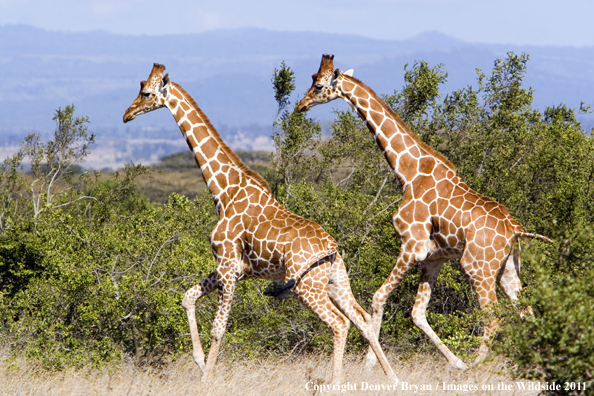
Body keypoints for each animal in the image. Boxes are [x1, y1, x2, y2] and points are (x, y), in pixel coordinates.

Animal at [122, 64, 396, 384]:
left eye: (145, 93)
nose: (127, 113)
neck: (223, 192)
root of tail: (332, 246)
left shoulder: (227, 266)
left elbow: (218, 328)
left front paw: (207, 379)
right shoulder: (235, 268)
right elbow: (188, 297)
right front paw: (200, 364)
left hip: (307, 287)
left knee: (339, 324)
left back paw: (337, 382)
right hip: (335, 281)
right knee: (362, 319)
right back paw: (392, 378)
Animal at [296, 54, 552, 370]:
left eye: (318, 85)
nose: (301, 105)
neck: (408, 172)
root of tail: (515, 229)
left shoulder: (412, 245)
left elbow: (379, 297)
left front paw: (371, 364)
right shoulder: (434, 257)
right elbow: (417, 314)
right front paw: (453, 362)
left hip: (477, 267)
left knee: (493, 318)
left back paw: (476, 367)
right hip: (507, 268)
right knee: (526, 311)